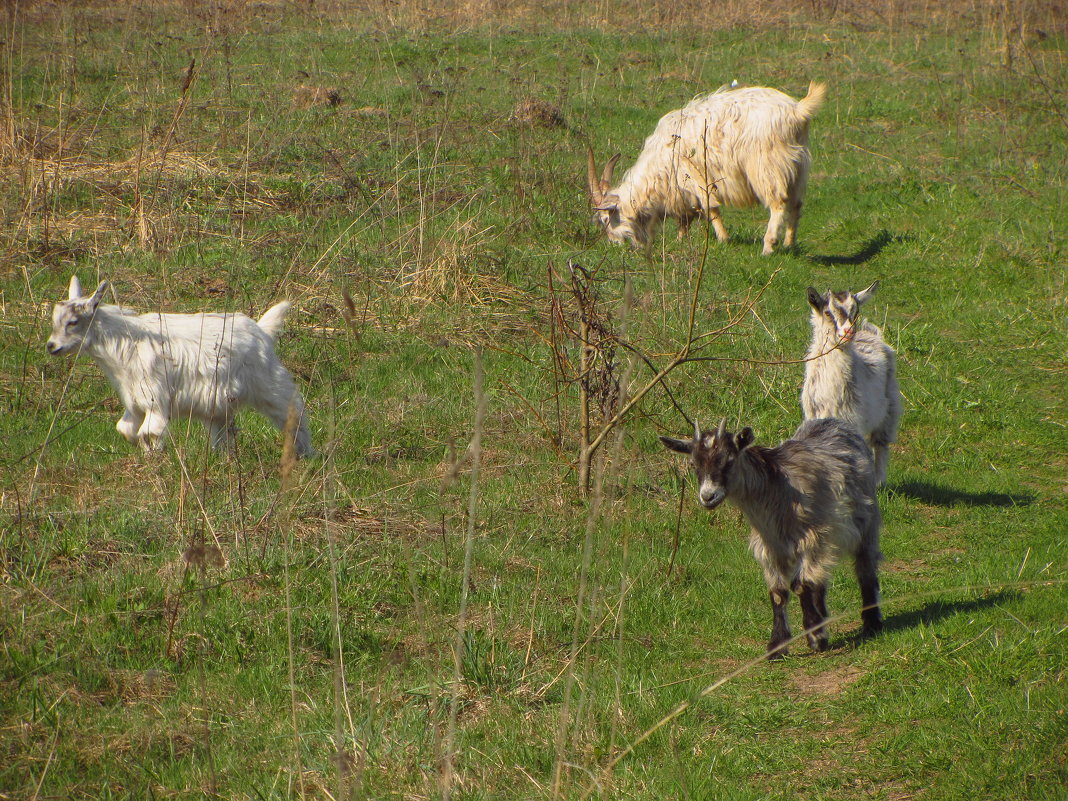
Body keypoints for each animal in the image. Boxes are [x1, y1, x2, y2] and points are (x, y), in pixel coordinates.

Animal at [657, 420, 884, 657]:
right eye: (694, 464)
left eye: (729, 461)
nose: (708, 496)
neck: (776, 491)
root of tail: (833, 422)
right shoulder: (771, 547)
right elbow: (778, 593)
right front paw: (778, 646)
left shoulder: (813, 537)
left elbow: (801, 585)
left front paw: (815, 636)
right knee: (820, 579)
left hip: (866, 522)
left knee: (864, 567)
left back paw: (872, 622)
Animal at [803, 281, 901, 482]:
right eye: (828, 312)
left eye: (856, 312)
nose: (848, 331)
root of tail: (870, 334)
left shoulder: (852, 419)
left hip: (890, 410)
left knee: (880, 444)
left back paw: (879, 481)